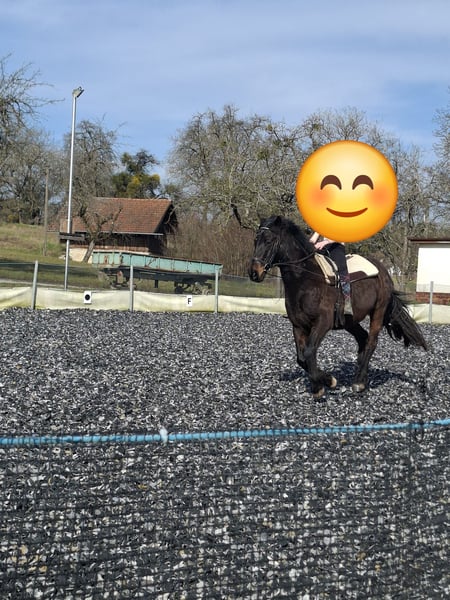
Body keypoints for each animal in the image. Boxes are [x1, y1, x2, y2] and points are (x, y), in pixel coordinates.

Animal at [248, 215, 428, 399]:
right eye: (255, 240)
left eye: (269, 240)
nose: (254, 273)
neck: (305, 280)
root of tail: (383, 271)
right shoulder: (298, 325)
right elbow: (301, 358)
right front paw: (326, 381)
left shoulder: (322, 323)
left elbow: (309, 351)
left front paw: (322, 386)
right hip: (349, 321)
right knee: (362, 339)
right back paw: (359, 377)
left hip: (378, 311)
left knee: (371, 342)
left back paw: (359, 383)